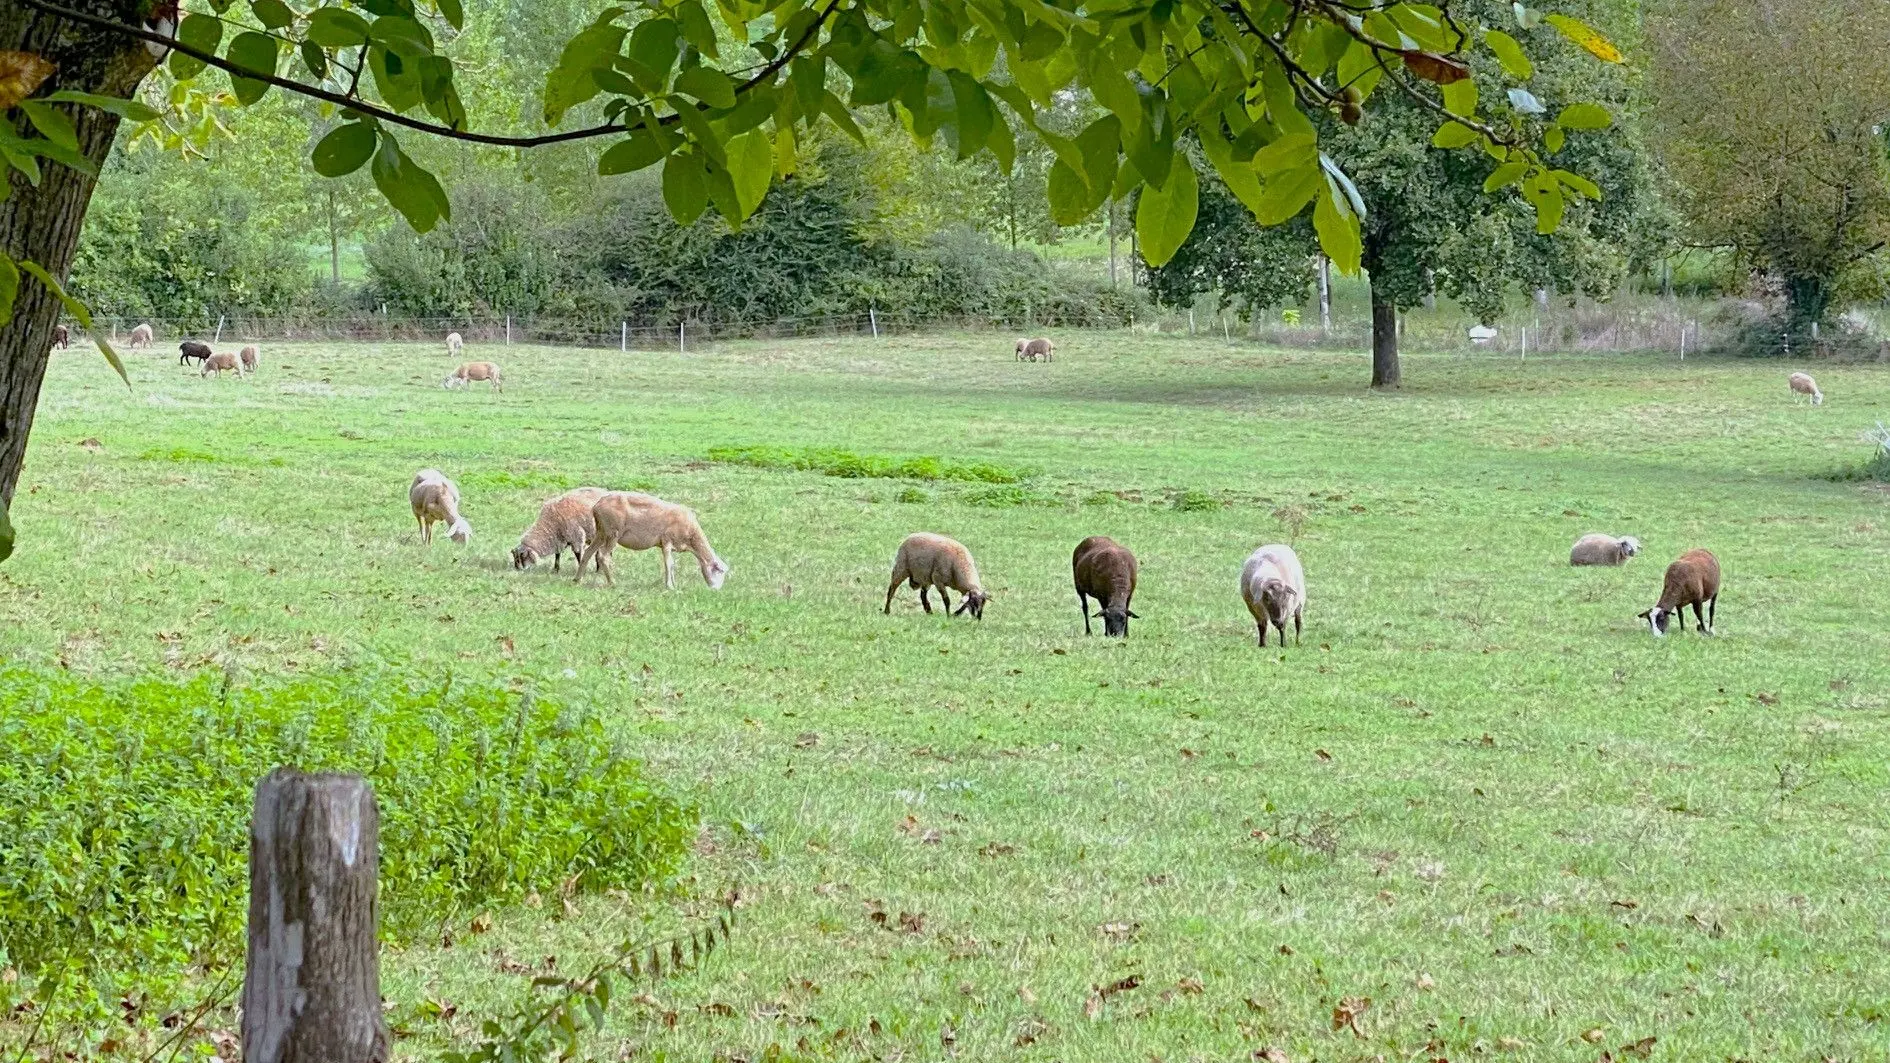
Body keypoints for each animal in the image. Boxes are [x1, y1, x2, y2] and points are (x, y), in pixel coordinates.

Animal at [576, 491, 728, 590]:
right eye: (720, 571)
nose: (716, 590)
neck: (692, 538)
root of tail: (597, 506)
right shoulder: (667, 540)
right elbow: (669, 563)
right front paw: (670, 586)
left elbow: (672, 565)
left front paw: (673, 583)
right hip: (613, 533)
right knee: (603, 556)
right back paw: (612, 582)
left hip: (601, 532)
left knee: (588, 553)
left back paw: (578, 579)